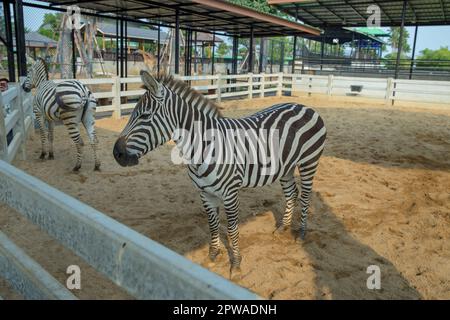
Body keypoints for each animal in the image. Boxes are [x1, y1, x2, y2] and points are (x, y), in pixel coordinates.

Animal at [112, 71, 326, 276]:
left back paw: (301, 233)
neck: (203, 147)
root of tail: (304, 106)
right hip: (285, 167)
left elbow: (232, 229)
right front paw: (213, 254)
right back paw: (283, 227)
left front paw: (236, 264)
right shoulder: (205, 193)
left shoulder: (230, 193)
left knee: (305, 196)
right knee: (292, 194)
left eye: (145, 116)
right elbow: (212, 224)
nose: (116, 154)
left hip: (309, 161)